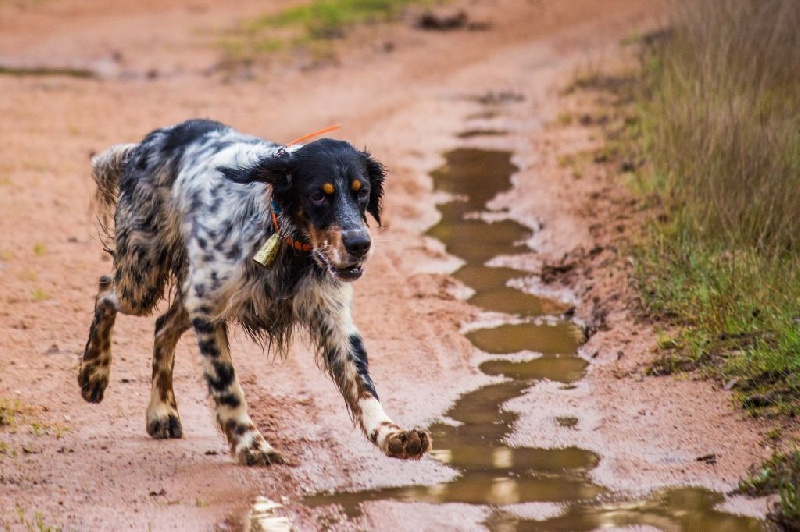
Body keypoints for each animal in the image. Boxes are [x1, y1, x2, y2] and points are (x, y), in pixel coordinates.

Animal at [76, 120, 432, 466]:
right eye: (318, 195)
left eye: (363, 192)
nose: (360, 244)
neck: (284, 240)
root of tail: (150, 140)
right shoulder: (208, 308)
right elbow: (228, 386)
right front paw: (253, 446)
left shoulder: (333, 319)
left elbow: (363, 387)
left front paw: (392, 434)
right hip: (142, 277)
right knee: (105, 291)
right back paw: (93, 372)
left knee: (162, 327)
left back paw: (161, 412)